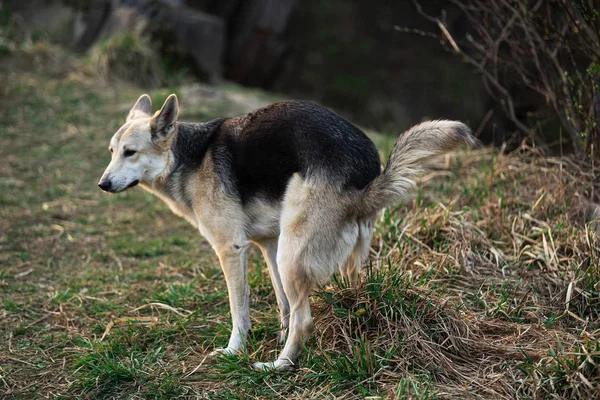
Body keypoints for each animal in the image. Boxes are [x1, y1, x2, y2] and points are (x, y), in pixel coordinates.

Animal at [97, 94, 474, 372]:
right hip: (313, 256)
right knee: (342, 297)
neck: (190, 157)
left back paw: (279, 365)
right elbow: (282, 304)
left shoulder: (232, 249)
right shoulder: (268, 244)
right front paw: (277, 335)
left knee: (305, 320)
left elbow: (240, 311)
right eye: (112, 152)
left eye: (131, 153)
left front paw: (235, 351)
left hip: (292, 255)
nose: (102, 184)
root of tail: (366, 180)